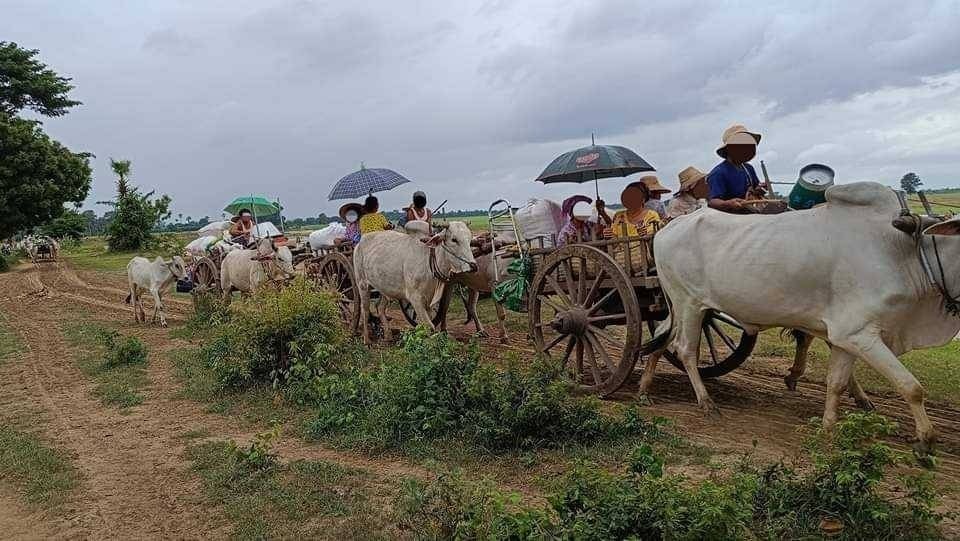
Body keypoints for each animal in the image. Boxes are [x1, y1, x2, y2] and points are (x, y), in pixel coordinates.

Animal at [648, 184, 956, 454]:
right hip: (689, 303)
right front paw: (926, 440)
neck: (906, 252)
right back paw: (706, 402)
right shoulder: (859, 333)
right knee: (686, 350)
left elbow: (836, 382)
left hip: (680, 307)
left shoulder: (846, 337)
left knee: (661, 336)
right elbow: (911, 387)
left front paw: (829, 427)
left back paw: (644, 389)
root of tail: (668, 228)